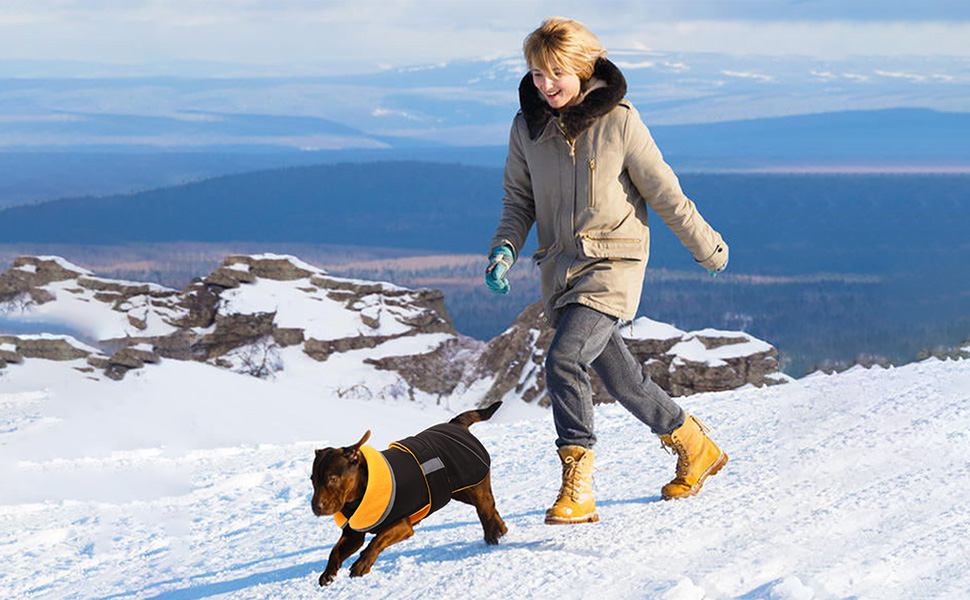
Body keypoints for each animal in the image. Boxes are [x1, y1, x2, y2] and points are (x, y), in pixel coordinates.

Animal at [310, 400, 506, 584]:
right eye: (312, 480)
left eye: (332, 479)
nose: (316, 507)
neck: (360, 494)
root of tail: (456, 424)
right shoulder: (353, 535)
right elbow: (335, 551)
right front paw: (329, 572)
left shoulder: (403, 526)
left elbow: (377, 540)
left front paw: (362, 564)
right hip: (458, 491)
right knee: (491, 509)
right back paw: (501, 529)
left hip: (474, 486)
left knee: (486, 510)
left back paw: (492, 534)